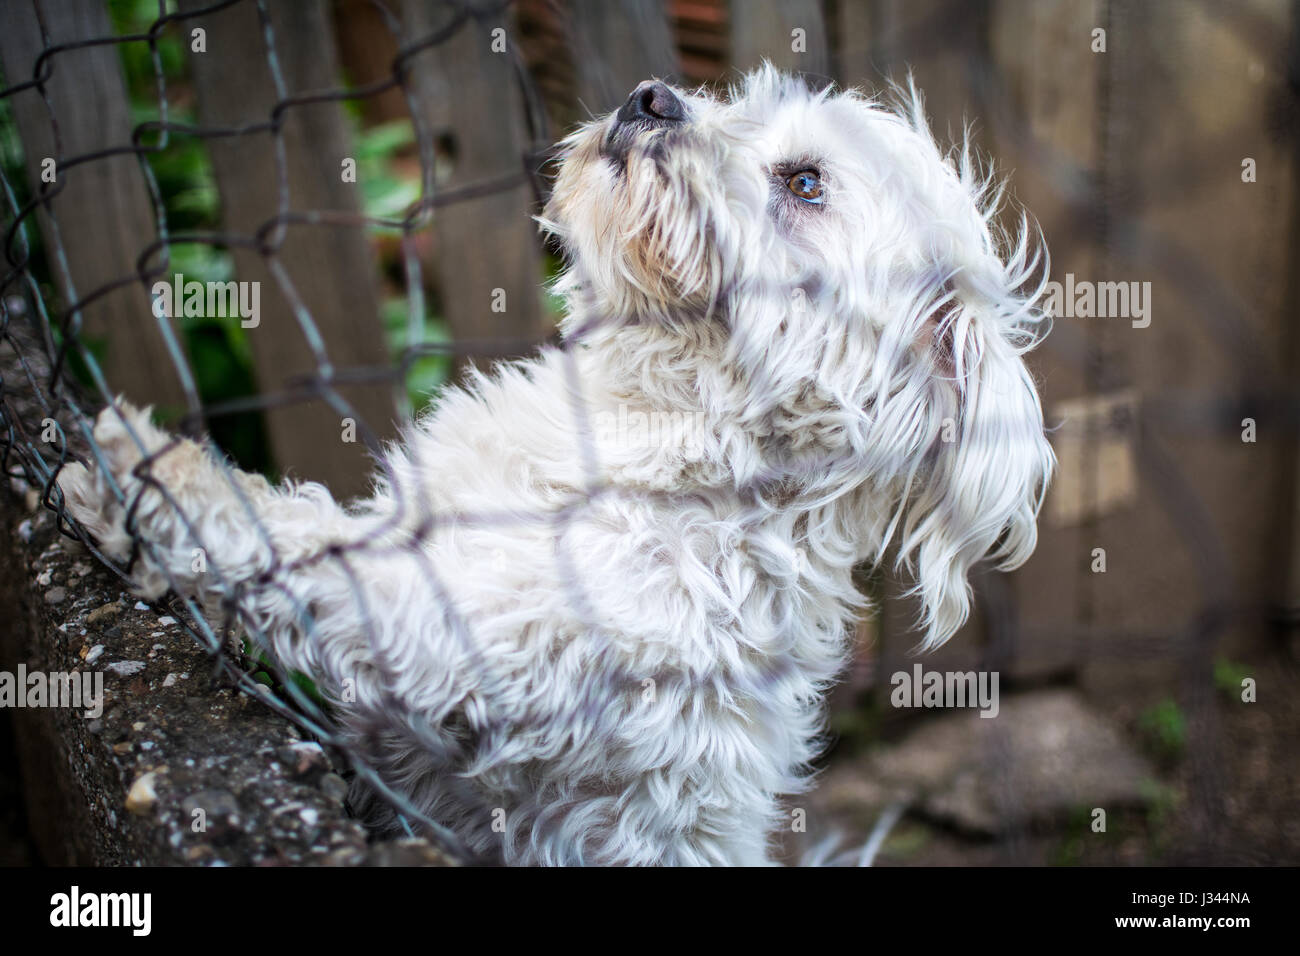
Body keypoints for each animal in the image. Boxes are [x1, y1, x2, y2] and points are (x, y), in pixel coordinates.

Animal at [58, 67, 1055, 868]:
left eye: (805, 183)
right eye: (738, 101)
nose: (651, 98)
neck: (654, 419)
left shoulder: (461, 637)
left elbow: (309, 547)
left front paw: (153, 474)